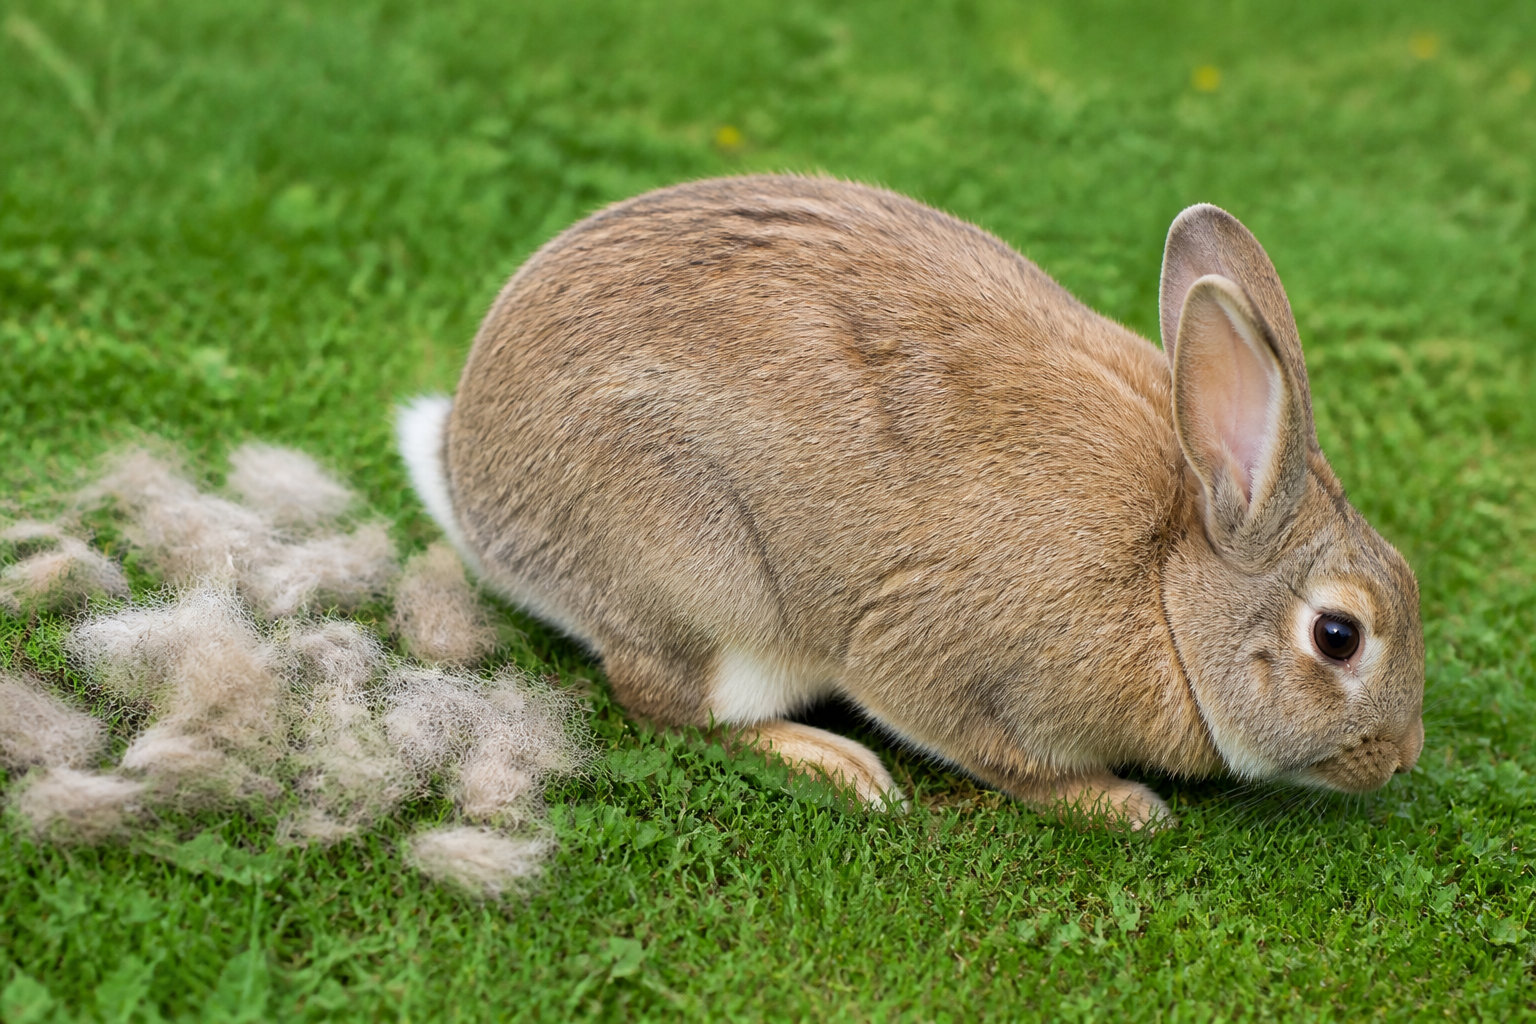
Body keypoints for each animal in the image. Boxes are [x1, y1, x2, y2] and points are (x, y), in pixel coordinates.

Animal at [398, 174, 1425, 828]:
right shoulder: (939, 665)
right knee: (669, 705)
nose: (1404, 756)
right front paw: (1119, 805)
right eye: (1339, 636)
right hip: (701, 580)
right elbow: (1000, 758)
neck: (1171, 584)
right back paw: (838, 765)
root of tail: (470, 481)